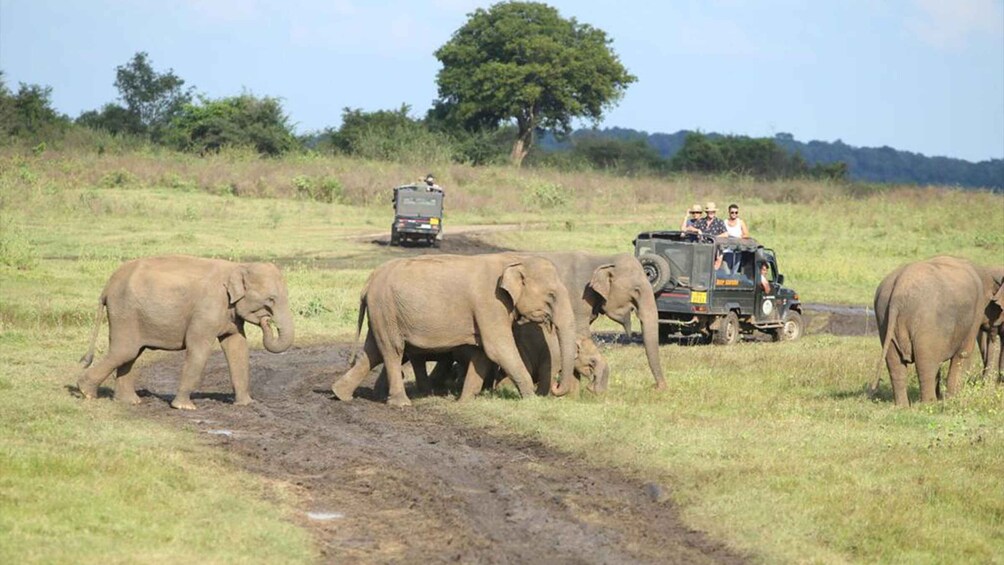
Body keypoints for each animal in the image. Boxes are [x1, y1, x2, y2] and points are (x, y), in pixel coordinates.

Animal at [75, 256, 293, 411]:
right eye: (271, 299)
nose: (267, 321)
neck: (238, 266)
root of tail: (107, 286)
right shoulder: (207, 308)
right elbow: (199, 349)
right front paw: (185, 407)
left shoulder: (229, 314)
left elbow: (237, 347)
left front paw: (247, 404)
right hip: (124, 312)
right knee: (125, 351)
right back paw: (86, 392)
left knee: (131, 353)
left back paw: (129, 402)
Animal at [333, 252, 578, 407]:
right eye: (551, 296)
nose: (555, 387)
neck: (515, 260)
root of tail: (368, 282)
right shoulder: (490, 303)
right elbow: (498, 347)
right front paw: (532, 401)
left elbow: (483, 353)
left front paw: (465, 401)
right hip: (386, 308)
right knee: (392, 350)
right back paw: (401, 404)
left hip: (383, 312)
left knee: (373, 351)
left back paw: (340, 395)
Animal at [534, 253, 666, 395]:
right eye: (636, 290)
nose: (656, 387)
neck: (603, 259)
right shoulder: (578, 301)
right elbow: (581, 333)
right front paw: (574, 394)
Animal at [871, 256, 1003, 407]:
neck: (984, 272)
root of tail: (898, 292)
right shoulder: (976, 311)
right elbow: (963, 353)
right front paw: (952, 399)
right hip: (927, 322)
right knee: (926, 364)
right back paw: (929, 404)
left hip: (884, 318)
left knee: (895, 364)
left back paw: (902, 406)